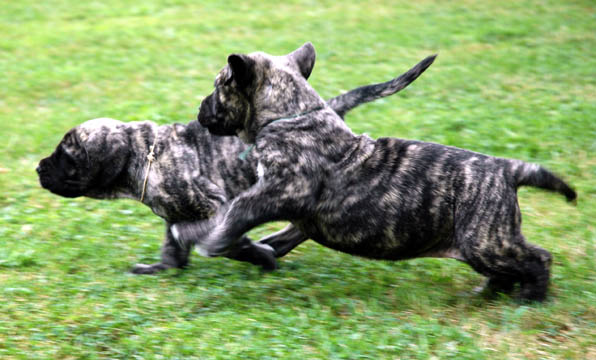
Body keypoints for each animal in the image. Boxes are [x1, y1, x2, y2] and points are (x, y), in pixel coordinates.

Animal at [36, 65, 428, 272]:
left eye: (65, 155)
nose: (39, 168)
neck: (144, 155)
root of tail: (330, 108)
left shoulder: (218, 209)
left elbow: (221, 240)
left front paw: (259, 258)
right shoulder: (174, 216)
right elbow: (172, 245)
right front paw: (161, 270)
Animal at [173, 43, 576, 300]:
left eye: (219, 86)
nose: (199, 110)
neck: (292, 114)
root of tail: (508, 170)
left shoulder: (279, 191)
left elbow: (235, 212)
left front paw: (211, 240)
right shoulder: (297, 213)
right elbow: (276, 235)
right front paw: (258, 249)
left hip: (485, 241)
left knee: (538, 259)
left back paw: (532, 297)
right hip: (485, 244)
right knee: (510, 269)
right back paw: (490, 293)